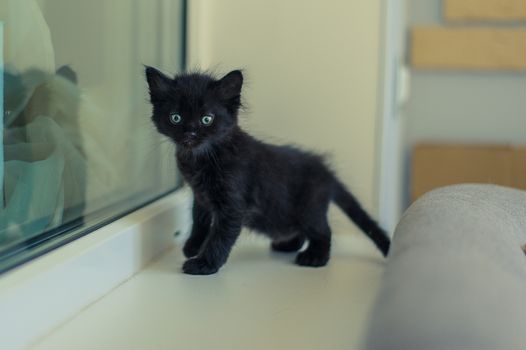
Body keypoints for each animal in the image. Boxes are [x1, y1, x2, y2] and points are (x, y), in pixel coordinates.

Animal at [146, 67, 390, 274]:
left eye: (207, 119)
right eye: (175, 117)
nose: (190, 134)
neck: (201, 159)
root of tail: (326, 171)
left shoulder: (233, 204)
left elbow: (221, 236)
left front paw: (204, 264)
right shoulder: (201, 196)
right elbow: (199, 220)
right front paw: (193, 246)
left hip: (309, 207)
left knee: (323, 231)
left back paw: (315, 257)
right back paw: (288, 244)